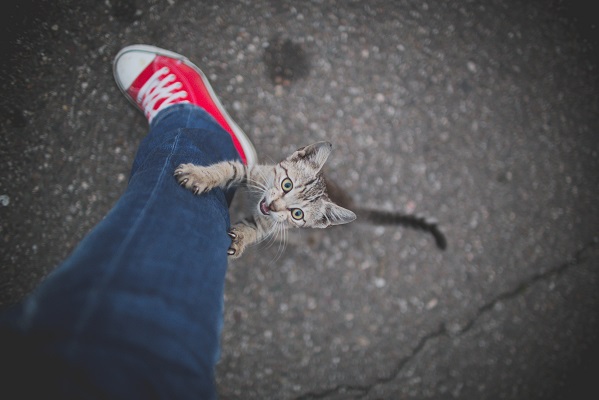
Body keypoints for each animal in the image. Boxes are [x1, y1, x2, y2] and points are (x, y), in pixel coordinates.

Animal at [173, 142, 356, 258]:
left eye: (297, 214)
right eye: (287, 184)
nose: (274, 206)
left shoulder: (267, 224)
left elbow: (254, 229)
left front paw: (241, 239)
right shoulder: (250, 172)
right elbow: (227, 169)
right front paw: (200, 176)